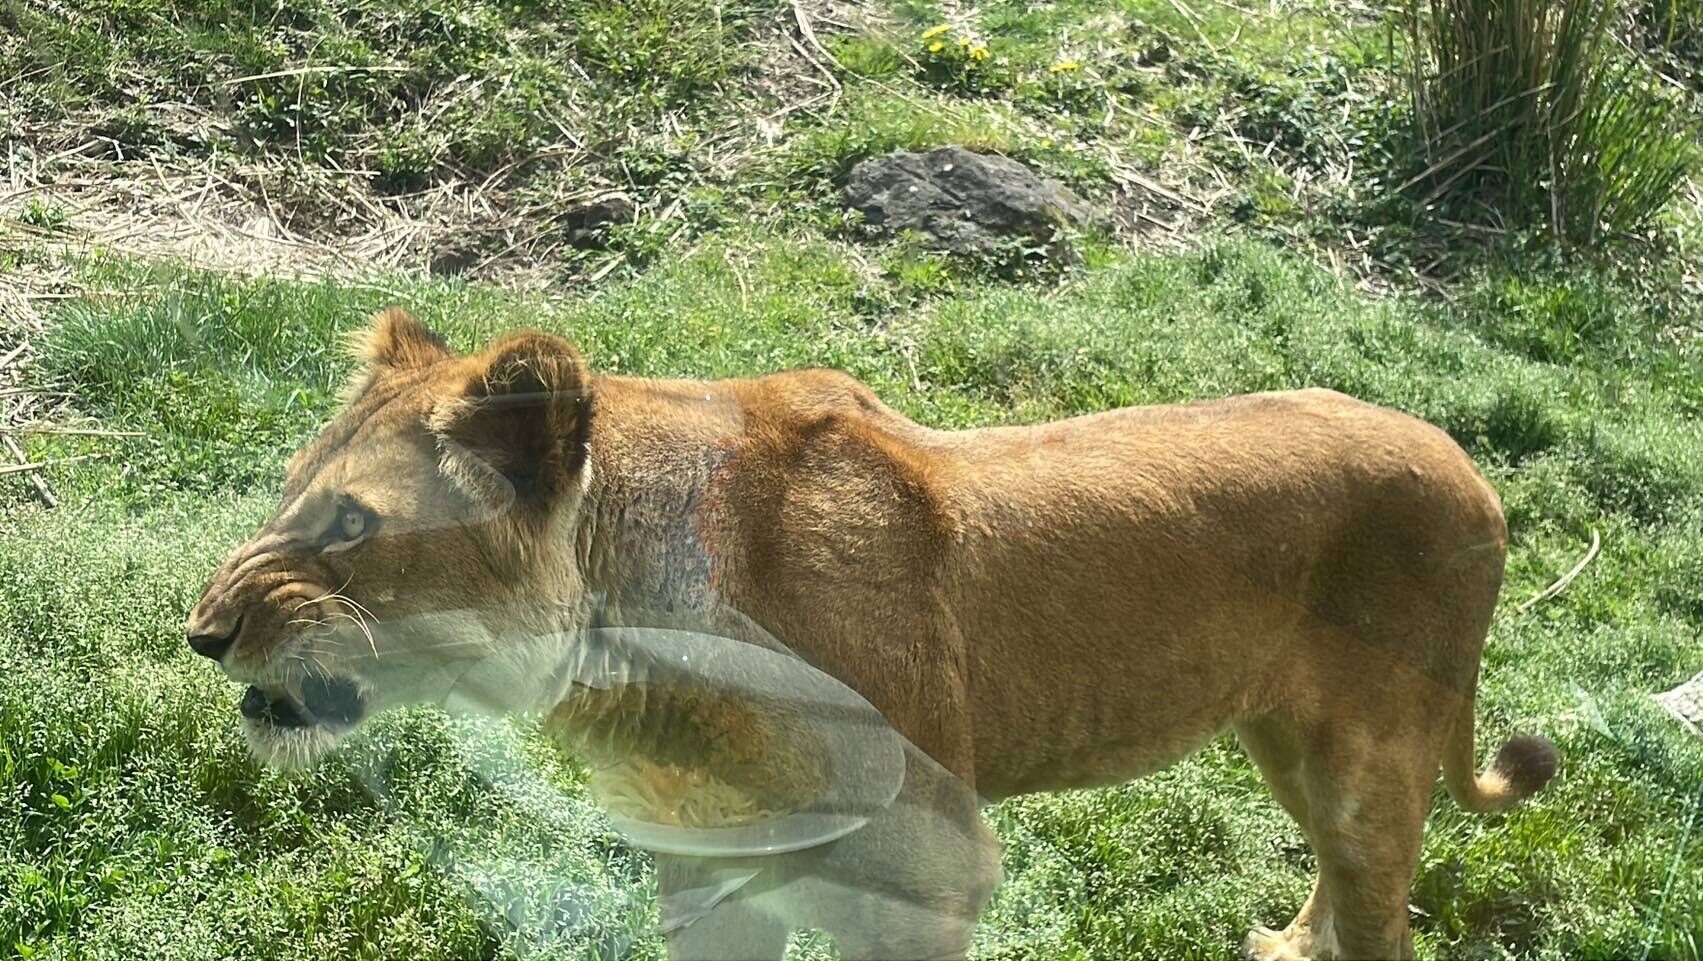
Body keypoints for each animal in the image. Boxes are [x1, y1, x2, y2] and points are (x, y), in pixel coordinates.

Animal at [186, 307, 1557, 961]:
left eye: (351, 521)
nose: (201, 632)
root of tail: (1469, 466)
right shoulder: (707, 868)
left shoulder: (926, 878)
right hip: (1282, 736)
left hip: (1372, 754)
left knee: (1383, 908)